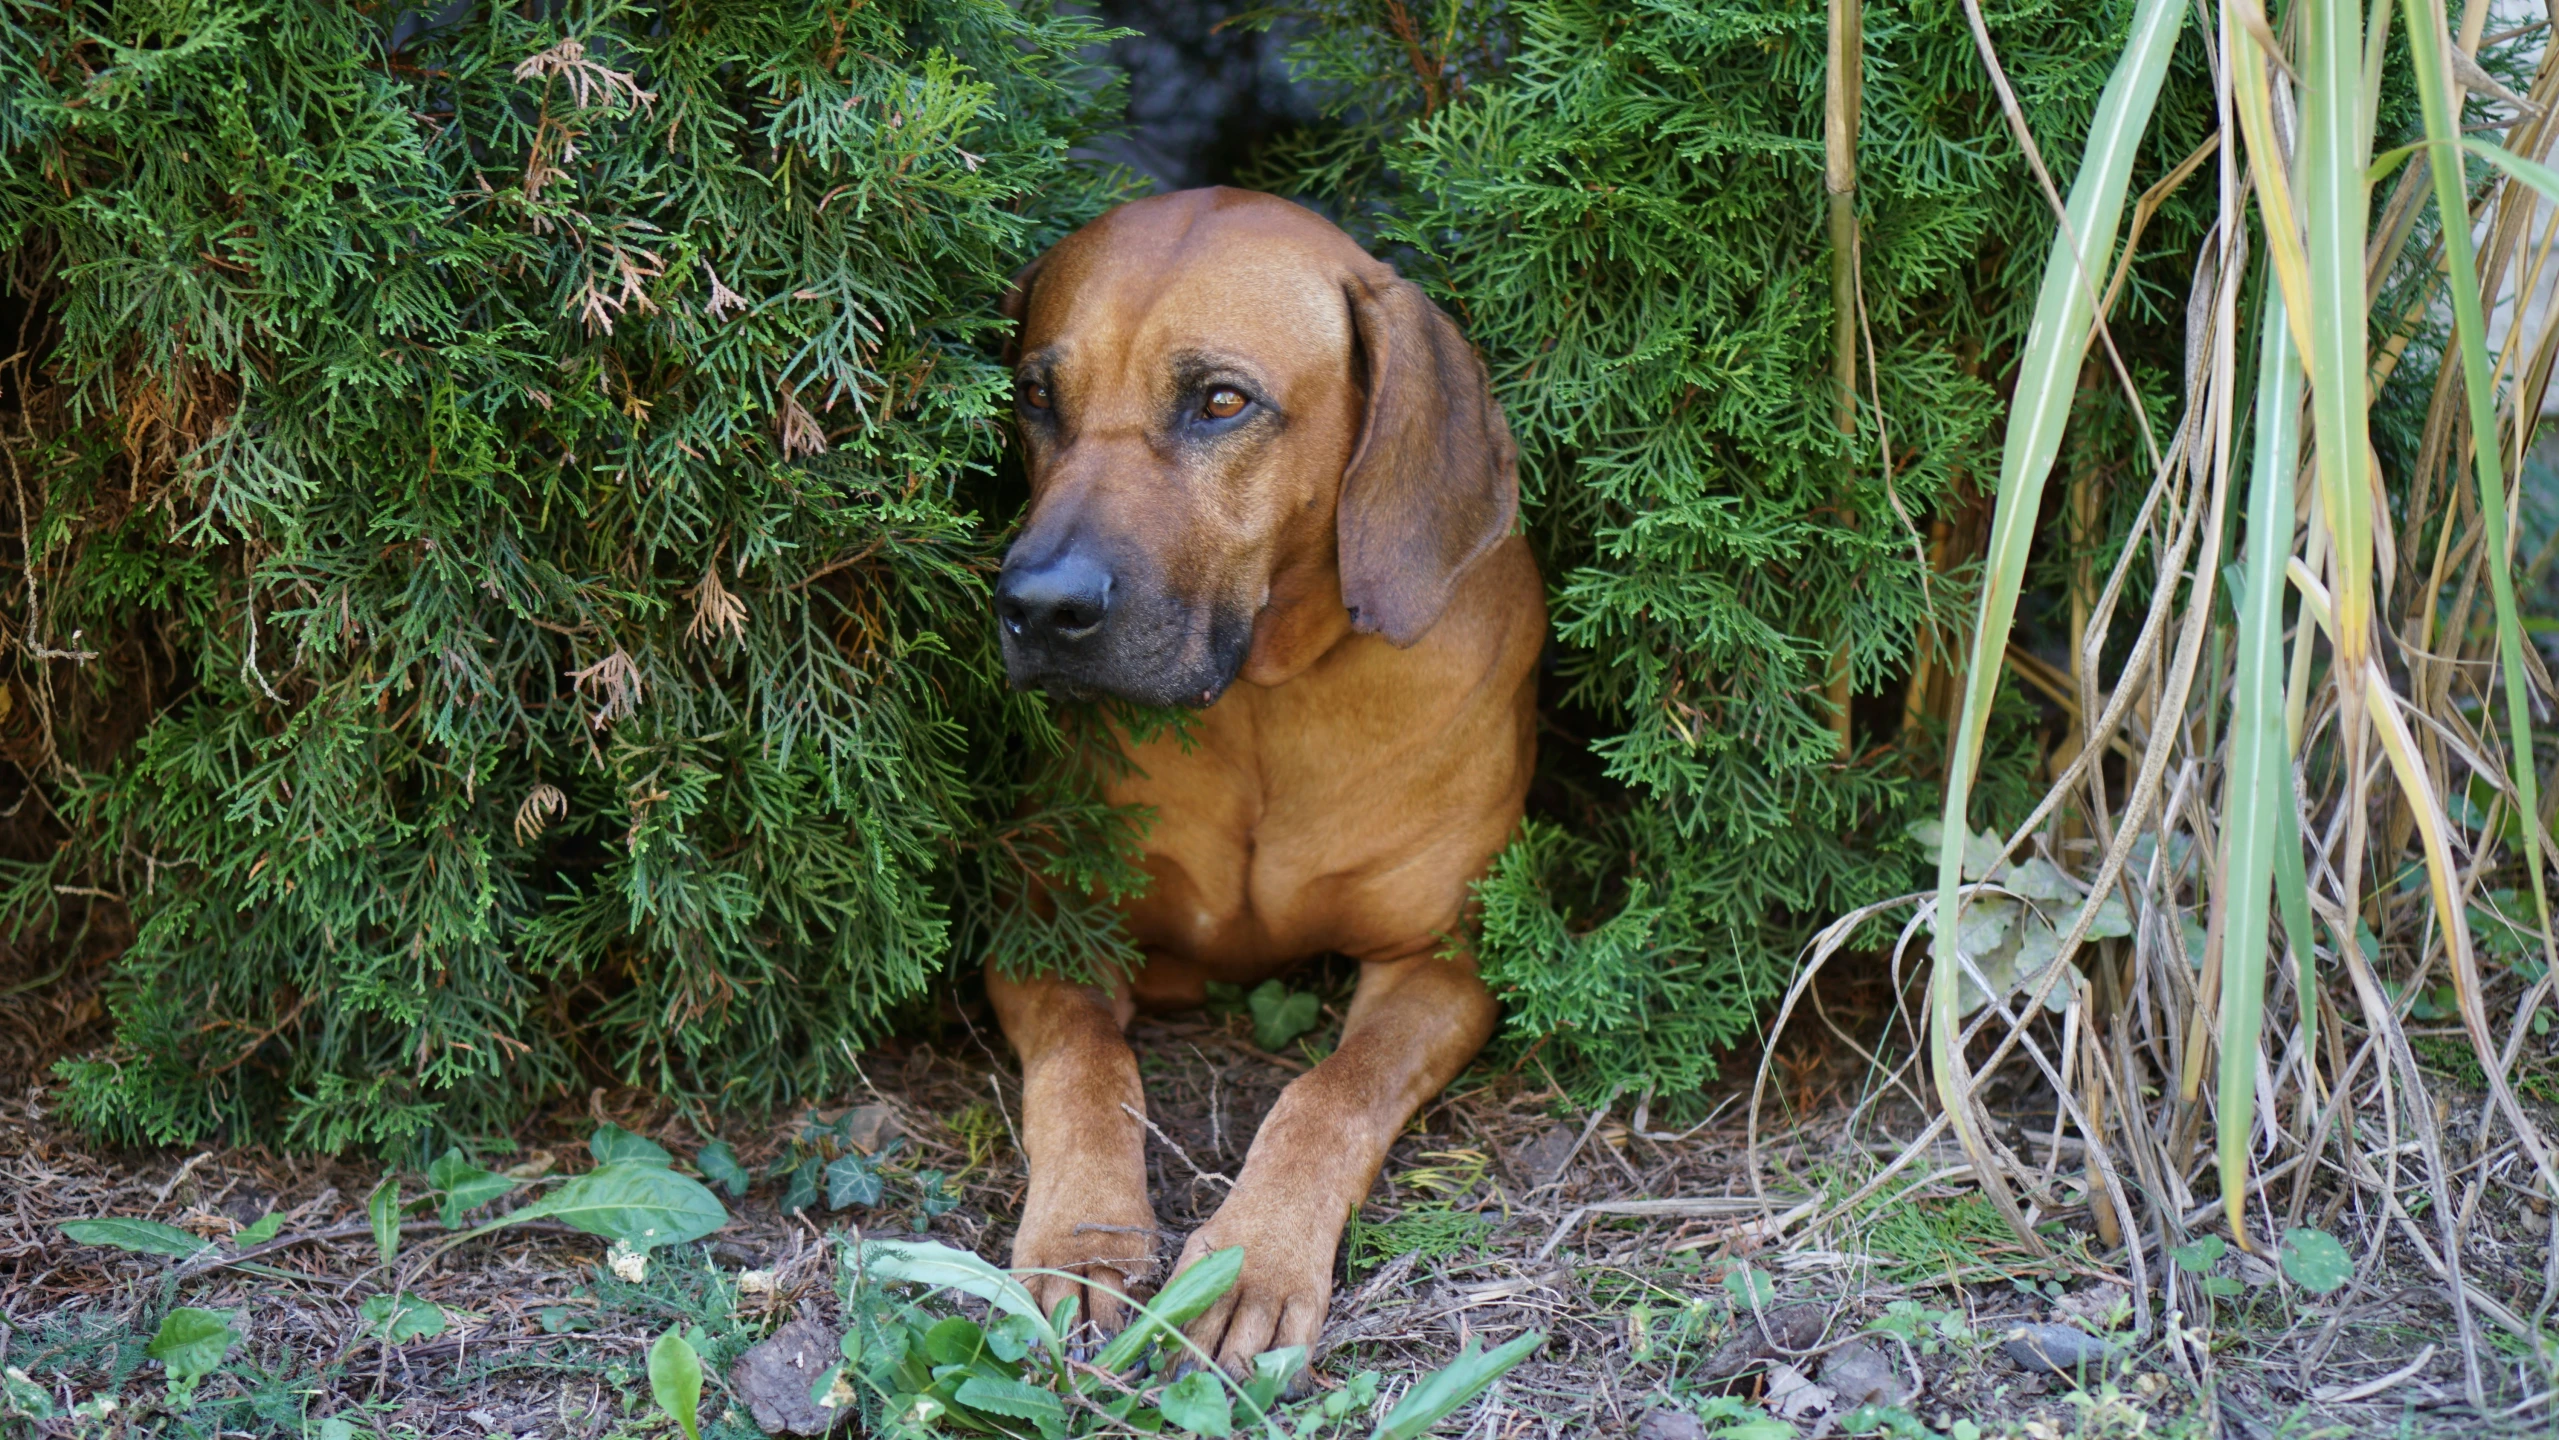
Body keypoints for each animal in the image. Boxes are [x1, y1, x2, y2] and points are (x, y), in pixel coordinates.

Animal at [982, 189, 1535, 1370]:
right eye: (1036, 396)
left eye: (1221, 402)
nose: (1038, 606)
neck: (1259, 706)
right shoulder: (1046, 921)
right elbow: (1086, 1065)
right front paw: (1084, 1232)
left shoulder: (1441, 960)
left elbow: (1331, 1091)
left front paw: (1251, 1260)